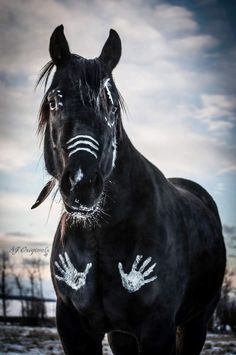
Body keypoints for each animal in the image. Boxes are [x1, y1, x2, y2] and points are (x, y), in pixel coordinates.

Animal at [32, 23, 226, 354]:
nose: (83, 184)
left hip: (196, 322)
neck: (102, 235)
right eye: (55, 101)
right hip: (121, 335)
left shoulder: (158, 328)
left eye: (111, 107)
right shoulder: (73, 326)